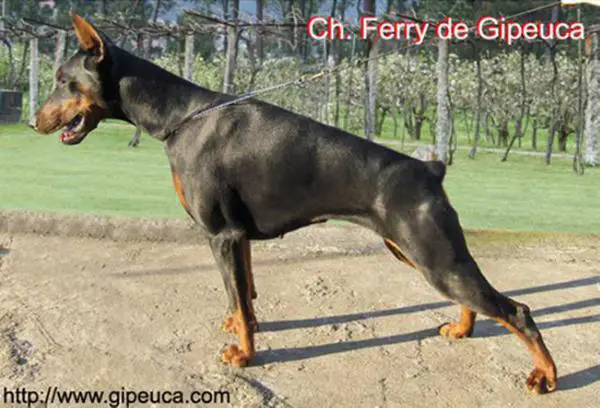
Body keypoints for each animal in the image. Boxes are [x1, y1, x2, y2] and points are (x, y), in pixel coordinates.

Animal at [31, 12, 556, 394]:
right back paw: (463, 329)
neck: (181, 116)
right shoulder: (237, 236)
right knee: (478, 301)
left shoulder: (220, 234)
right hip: (418, 252)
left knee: (517, 312)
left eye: (63, 80)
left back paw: (545, 375)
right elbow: (242, 295)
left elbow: (238, 295)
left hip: (431, 253)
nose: (35, 120)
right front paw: (239, 327)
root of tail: (430, 169)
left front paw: (243, 356)